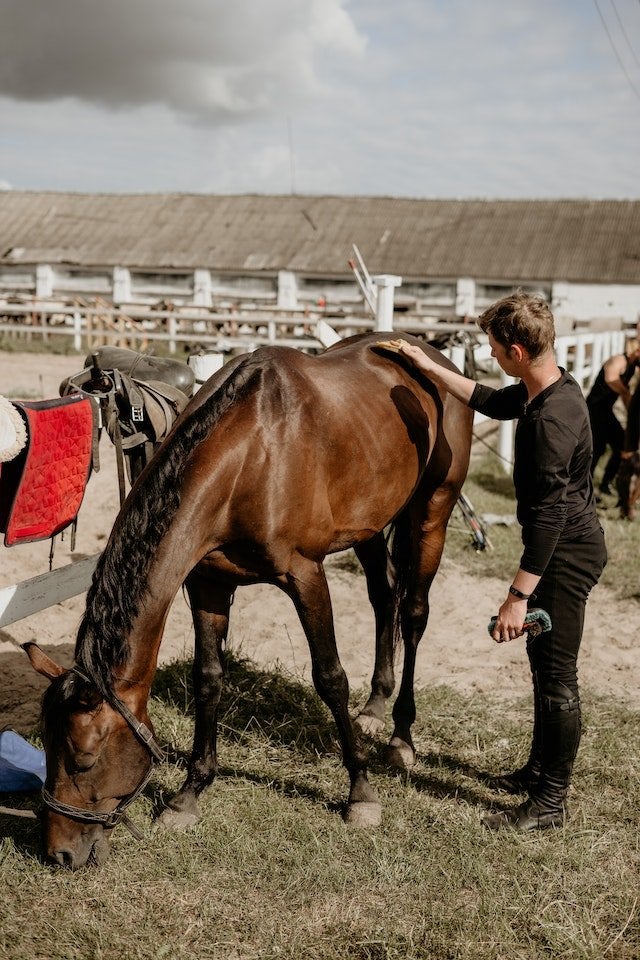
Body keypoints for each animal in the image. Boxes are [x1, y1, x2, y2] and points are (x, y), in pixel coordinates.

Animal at [25, 331, 473, 869]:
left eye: (83, 758)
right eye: (46, 744)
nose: (58, 853)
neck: (251, 456)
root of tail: (431, 356)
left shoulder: (305, 574)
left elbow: (330, 678)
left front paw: (361, 793)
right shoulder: (208, 584)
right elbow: (208, 680)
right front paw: (188, 794)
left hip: (431, 513)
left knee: (414, 614)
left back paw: (402, 736)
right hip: (368, 524)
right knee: (384, 600)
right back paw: (376, 704)